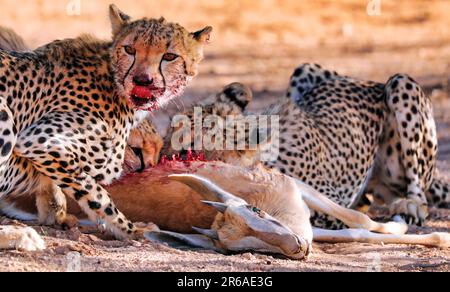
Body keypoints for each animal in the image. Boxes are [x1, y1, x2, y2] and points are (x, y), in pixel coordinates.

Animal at [0, 4, 213, 248]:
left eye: (170, 56)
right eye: (129, 49)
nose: (142, 80)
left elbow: (53, 185)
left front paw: (57, 214)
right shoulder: (37, 141)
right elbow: (98, 195)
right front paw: (132, 230)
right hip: (5, 116)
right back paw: (19, 235)